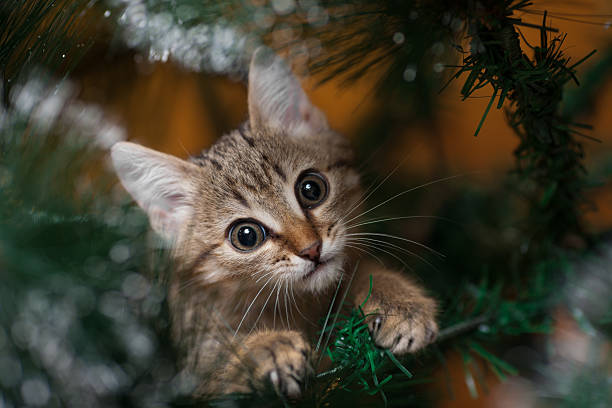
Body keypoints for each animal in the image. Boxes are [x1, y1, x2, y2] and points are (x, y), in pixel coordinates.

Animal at [109, 47, 436, 398]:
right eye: (246, 236)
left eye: (311, 189)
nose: (312, 249)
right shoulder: (188, 362)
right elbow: (216, 364)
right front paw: (265, 349)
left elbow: (359, 269)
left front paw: (398, 300)